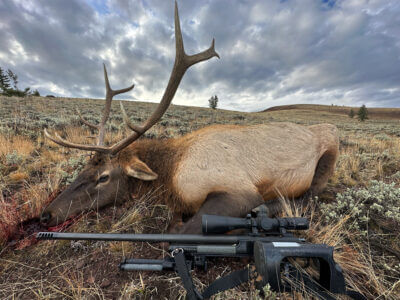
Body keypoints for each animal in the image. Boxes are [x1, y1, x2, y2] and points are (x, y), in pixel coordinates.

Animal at [39, 1, 338, 233]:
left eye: (103, 177)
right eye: (83, 169)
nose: (45, 214)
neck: (171, 175)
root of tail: (330, 127)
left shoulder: (240, 190)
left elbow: (184, 229)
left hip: (328, 156)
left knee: (310, 195)